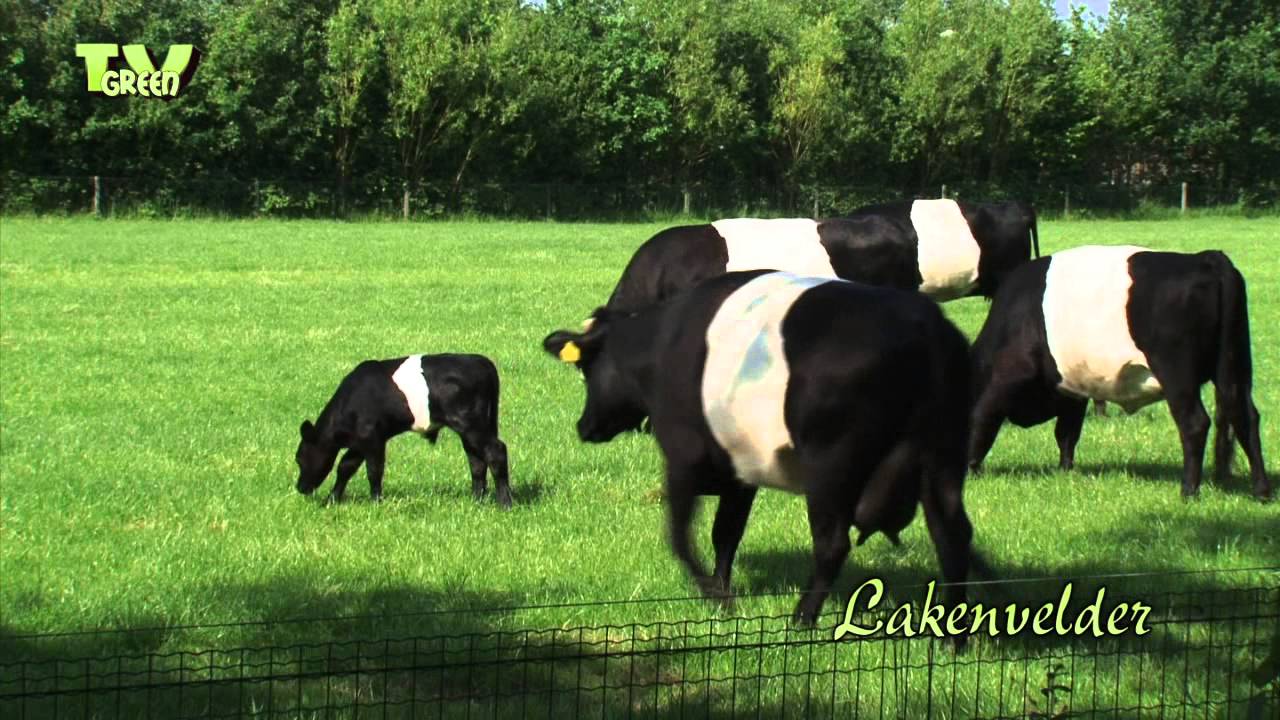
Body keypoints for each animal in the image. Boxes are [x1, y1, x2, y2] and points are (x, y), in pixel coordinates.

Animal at [295, 353, 512, 508]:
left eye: (299, 458)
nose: (299, 487)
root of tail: (482, 362)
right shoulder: (359, 442)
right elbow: (345, 467)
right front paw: (331, 500)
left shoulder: (373, 439)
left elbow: (374, 471)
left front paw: (376, 502)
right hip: (471, 430)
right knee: (476, 461)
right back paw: (476, 501)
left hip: (472, 426)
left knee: (496, 452)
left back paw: (505, 503)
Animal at [543, 270, 982, 626]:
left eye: (585, 368)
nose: (584, 426)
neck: (661, 346)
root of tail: (926, 324)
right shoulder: (740, 470)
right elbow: (726, 534)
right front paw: (722, 591)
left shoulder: (683, 458)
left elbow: (680, 537)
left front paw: (716, 598)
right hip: (942, 458)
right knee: (952, 534)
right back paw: (953, 635)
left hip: (832, 467)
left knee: (832, 544)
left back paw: (801, 620)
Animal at [968, 245, 1272, 502]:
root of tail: (1206, 258)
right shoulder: (1073, 390)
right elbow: (1066, 433)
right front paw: (1064, 471)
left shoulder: (1004, 381)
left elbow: (983, 421)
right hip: (1235, 366)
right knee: (1244, 416)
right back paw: (1261, 491)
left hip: (1177, 373)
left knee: (1195, 423)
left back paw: (1188, 491)